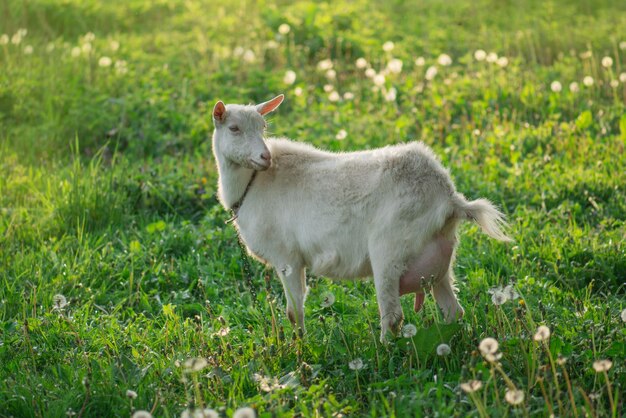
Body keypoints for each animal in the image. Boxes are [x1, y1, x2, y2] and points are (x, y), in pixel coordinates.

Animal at [212, 94, 510, 340]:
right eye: (234, 128)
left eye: (263, 127)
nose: (265, 157)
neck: (253, 183)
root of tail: (448, 197)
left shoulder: (287, 258)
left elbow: (294, 312)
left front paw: (300, 349)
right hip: (439, 257)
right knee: (452, 310)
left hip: (389, 249)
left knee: (393, 316)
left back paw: (385, 353)